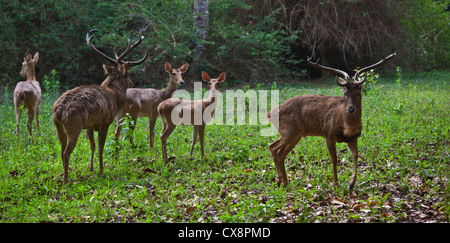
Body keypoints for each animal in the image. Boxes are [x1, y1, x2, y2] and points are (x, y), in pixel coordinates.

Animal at [51, 29, 149, 183]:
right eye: (128, 73)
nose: (132, 82)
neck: (115, 97)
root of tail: (58, 112)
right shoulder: (105, 122)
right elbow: (101, 147)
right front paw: (101, 170)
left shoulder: (90, 126)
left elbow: (93, 146)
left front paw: (91, 168)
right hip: (74, 126)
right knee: (66, 153)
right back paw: (66, 181)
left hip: (58, 127)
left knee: (61, 151)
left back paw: (64, 175)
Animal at [268, 52, 396, 190]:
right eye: (345, 93)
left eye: (358, 93)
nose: (350, 109)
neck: (347, 127)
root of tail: (270, 113)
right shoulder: (328, 133)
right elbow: (334, 159)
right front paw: (335, 183)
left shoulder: (353, 138)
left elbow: (356, 156)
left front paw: (351, 183)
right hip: (289, 131)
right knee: (272, 147)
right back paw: (279, 181)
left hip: (297, 135)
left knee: (281, 153)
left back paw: (285, 182)